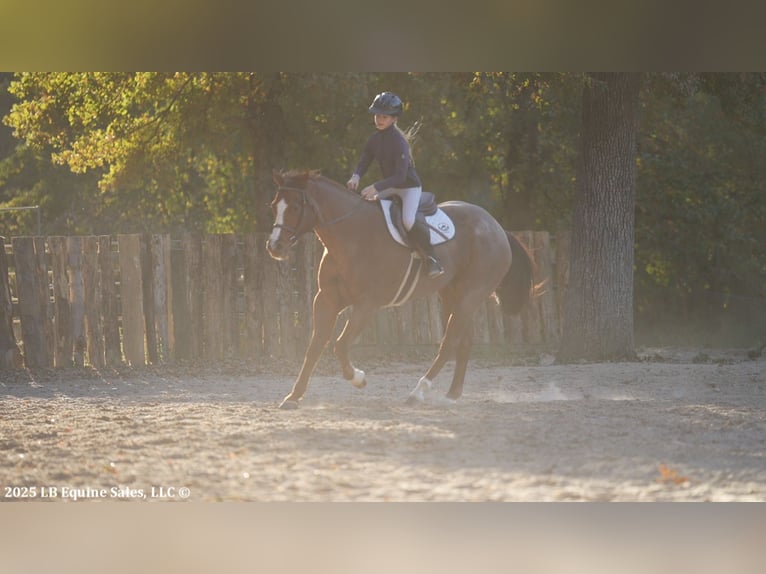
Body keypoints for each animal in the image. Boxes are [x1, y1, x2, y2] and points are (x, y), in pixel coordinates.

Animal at [267, 169, 535, 409]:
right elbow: (314, 347)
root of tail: (496, 227)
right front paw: (294, 396)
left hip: (471, 295)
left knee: (449, 342)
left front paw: (359, 379)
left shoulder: (367, 304)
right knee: (463, 340)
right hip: (452, 294)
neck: (351, 236)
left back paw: (418, 393)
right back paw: (452, 394)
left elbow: (340, 345)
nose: (274, 246)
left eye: (295, 207)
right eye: (274, 206)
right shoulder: (326, 300)